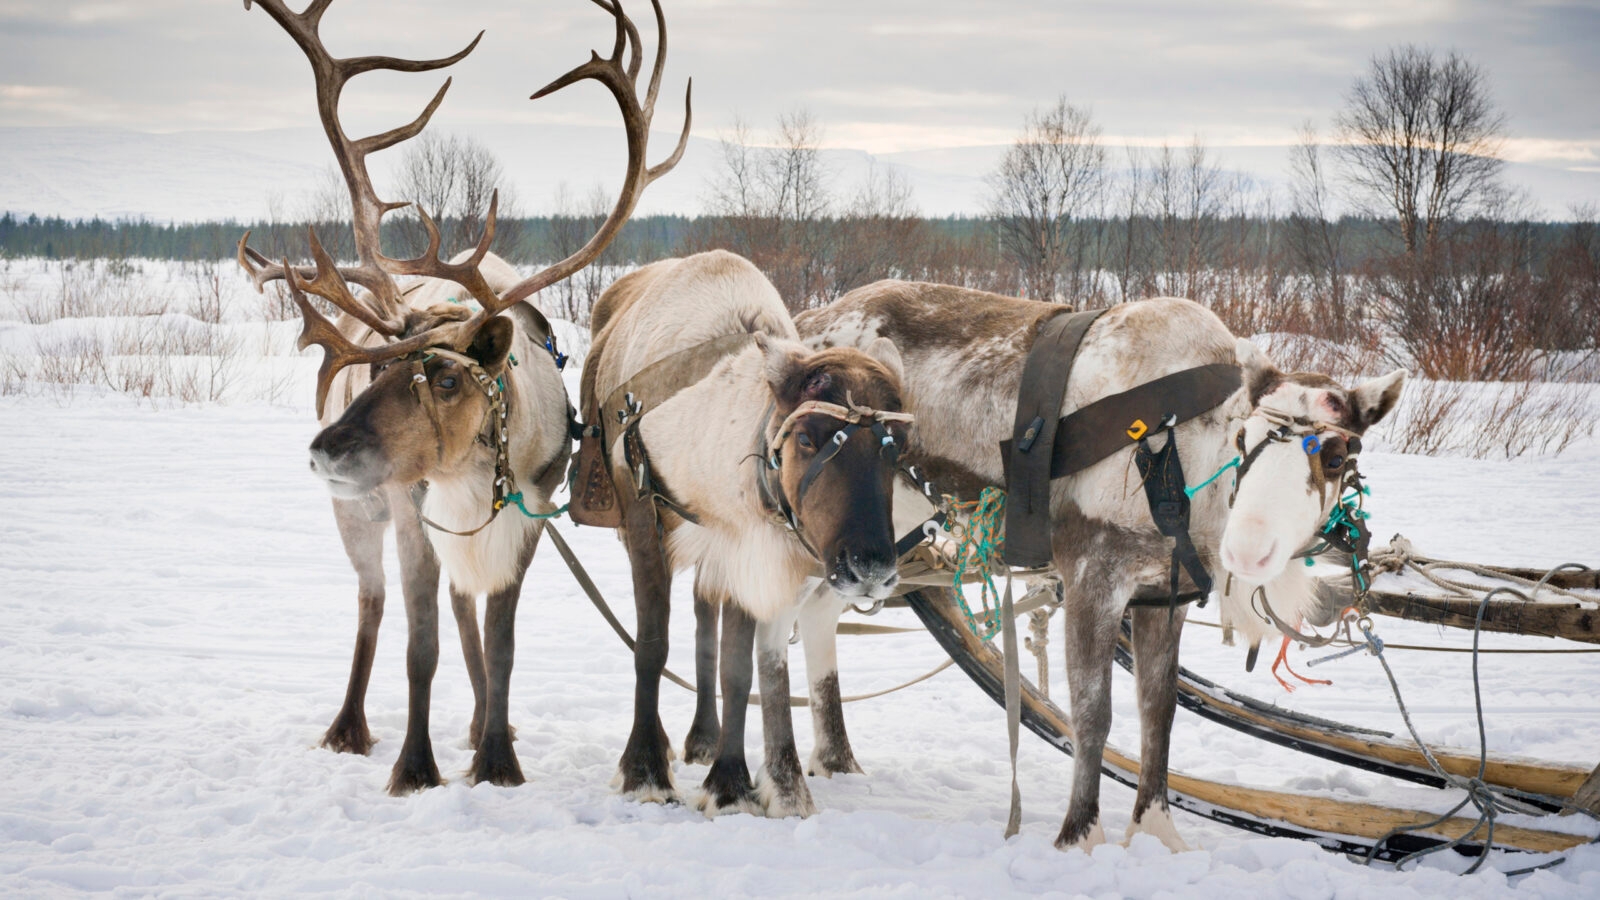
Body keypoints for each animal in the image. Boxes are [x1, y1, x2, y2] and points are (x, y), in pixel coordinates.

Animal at [234, 0, 690, 795]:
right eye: (379, 371)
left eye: (445, 378)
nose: (325, 449)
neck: (475, 473)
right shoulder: (414, 512)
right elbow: (421, 645)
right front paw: (416, 767)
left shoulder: (528, 518)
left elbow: (500, 641)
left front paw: (498, 760)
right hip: (358, 513)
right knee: (372, 601)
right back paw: (348, 726)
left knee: (461, 608)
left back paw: (480, 727)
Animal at [578, 250, 911, 817]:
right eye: (806, 438)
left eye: (899, 447)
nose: (869, 566)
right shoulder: (643, 517)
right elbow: (651, 646)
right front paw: (644, 771)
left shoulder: (739, 545)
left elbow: (736, 666)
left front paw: (729, 782)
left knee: (702, 619)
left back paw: (703, 738)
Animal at [797, 282, 1404, 850]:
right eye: (1243, 438)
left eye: (1335, 457)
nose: (1248, 550)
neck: (1186, 462)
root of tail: (807, 319)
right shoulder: (1094, 575)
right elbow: (1093, 714)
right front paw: (1079, 836)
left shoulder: (1165, 593)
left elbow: (1159, 712)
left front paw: (1155, 831)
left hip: (865, 547)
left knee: (817, 614)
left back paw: (834, 760)